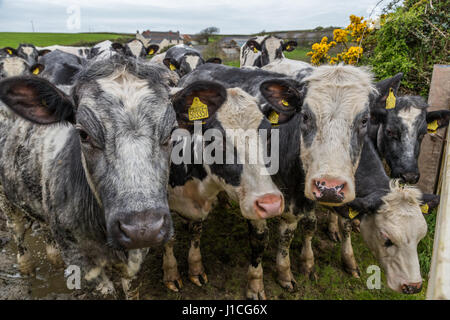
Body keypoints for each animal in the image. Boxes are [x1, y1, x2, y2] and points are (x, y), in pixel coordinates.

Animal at [0, 55, 185, 298]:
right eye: (83, 134)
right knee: (18, 233)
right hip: (7, 201)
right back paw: (26, 267)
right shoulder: (79, 257)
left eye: (171, 131)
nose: (141, 229)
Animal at [160, 80, 284, 296]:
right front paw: (171, 274)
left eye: (269, 135)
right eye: (217, 140)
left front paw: (195, 268)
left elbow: (197, 232)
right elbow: (169, 238)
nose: (270, 203)